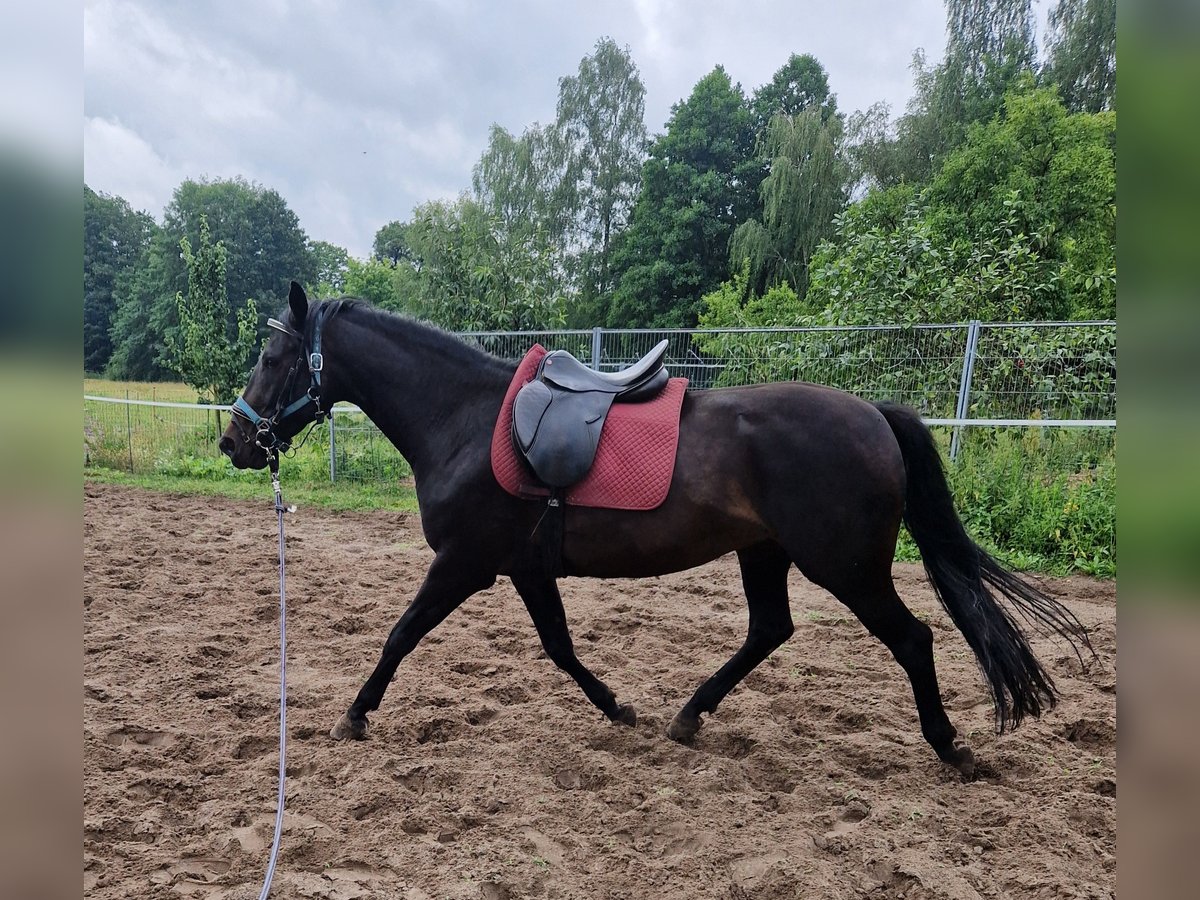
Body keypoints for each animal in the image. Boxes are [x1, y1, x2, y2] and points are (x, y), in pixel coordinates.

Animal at [220, 285, 1094, 777]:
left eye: (271, 356)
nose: (234, 442)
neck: (465, 419)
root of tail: (874, 415)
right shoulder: (526, 568)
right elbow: (560, 648)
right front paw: (618, 709)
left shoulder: (464, 563)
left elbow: (400, 634)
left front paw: (355, 715)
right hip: (765, 554)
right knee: (769, 630)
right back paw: (688, 716)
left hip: (846, 568)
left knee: (911, 639)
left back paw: (951, 748)